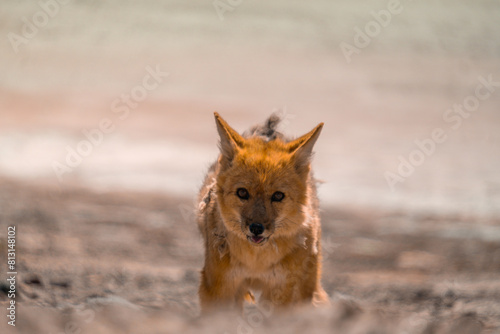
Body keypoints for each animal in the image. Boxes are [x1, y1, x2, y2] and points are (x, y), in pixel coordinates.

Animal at [197, 112, 330, 314]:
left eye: (278, 196)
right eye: (242, 193)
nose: (256, 228)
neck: (257, 262)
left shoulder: (281, 292)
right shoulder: (220, 287)